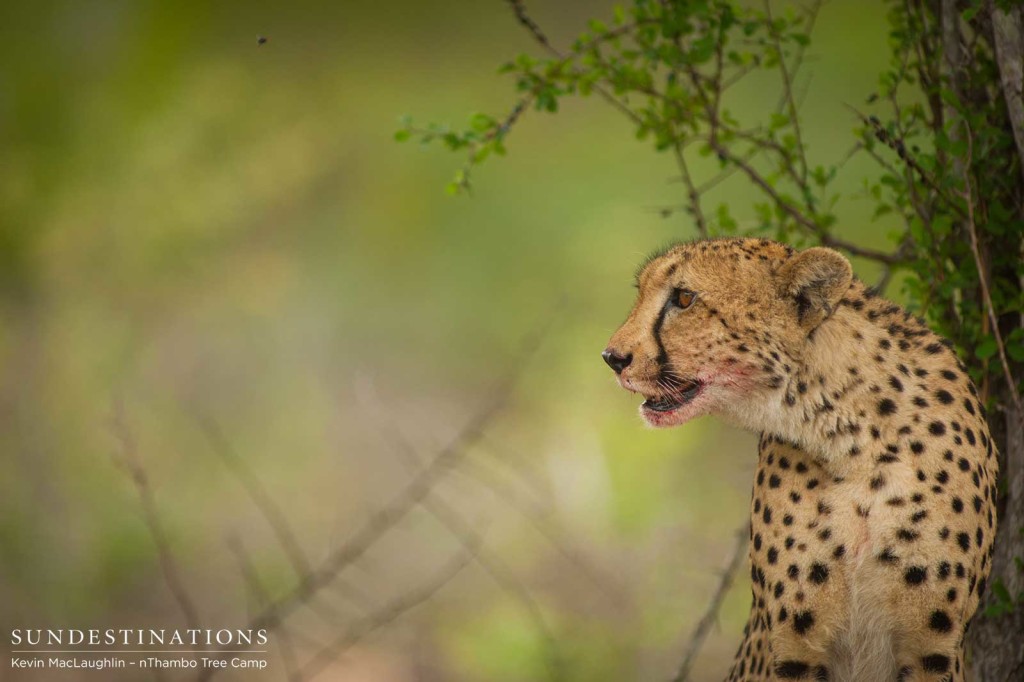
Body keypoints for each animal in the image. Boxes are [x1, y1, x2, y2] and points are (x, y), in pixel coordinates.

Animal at [602, 236, 995, 675]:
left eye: (684, 298)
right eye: (641, 292)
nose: (612, 357)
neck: (854, 436)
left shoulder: (933, 648)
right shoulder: (796, 649)